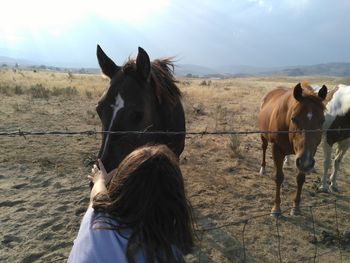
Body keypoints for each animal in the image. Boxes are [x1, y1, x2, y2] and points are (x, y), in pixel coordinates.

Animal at [258, 83, 328, 218]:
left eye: (322, 120)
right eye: (294, 119)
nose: (305, 162)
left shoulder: (306, 155)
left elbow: (300, 179)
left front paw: (296, 207)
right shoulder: (276, 149)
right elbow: (278, 177)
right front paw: (276, 208)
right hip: (263, 136)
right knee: (264, 148)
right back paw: (263, 169)